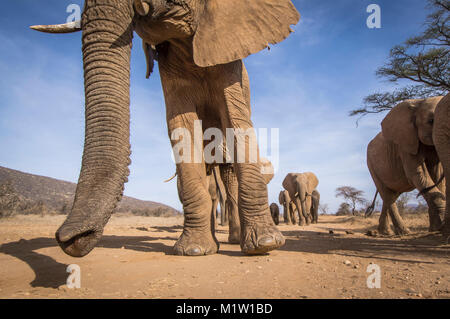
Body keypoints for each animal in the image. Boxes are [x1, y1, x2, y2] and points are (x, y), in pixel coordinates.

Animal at [31, 0, 298, 258]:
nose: (70, 240)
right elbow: (182, 126)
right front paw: (193, 250)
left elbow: (234, 119)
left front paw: (265, 245)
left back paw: (237, 241)